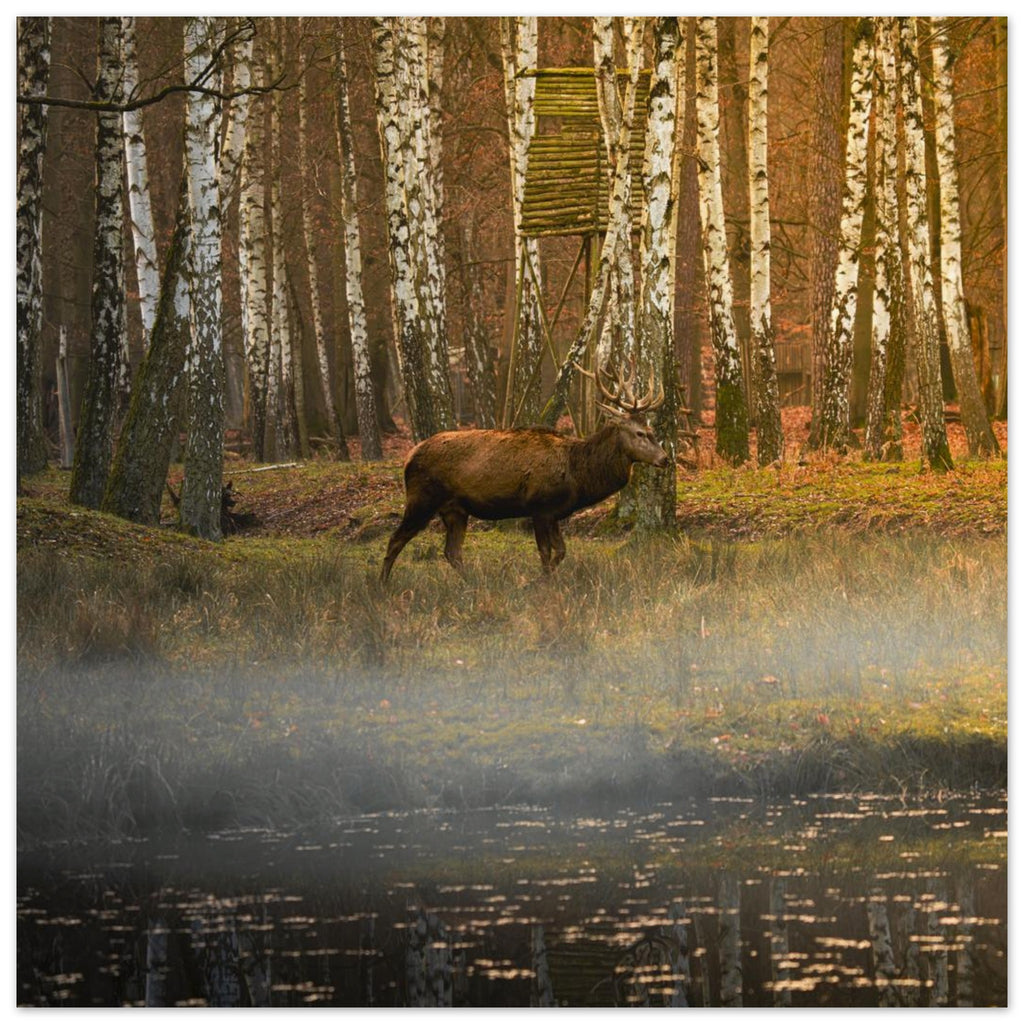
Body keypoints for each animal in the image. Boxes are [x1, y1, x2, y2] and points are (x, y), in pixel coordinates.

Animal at [380, 362, 670, 582]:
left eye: (652, 430)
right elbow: (546, 553)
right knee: (395, 540)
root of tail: (408, 457)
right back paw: (382, 585)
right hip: (422, 499)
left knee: (452, 552)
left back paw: (473, 583)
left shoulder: (554, 513)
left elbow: (561, 551)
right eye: (640, 433)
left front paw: (542, 580)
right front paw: (539, 583)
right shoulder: (539, 507)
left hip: (455, 510)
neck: (577, 475)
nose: (665, 459)